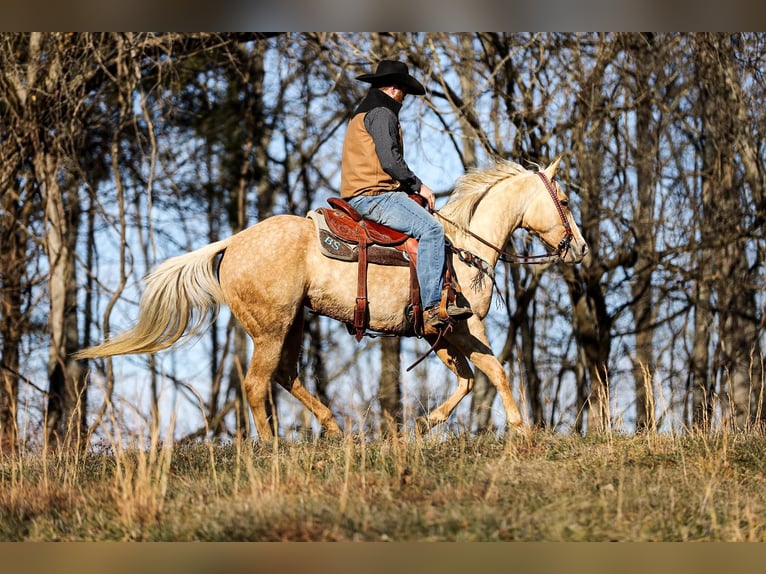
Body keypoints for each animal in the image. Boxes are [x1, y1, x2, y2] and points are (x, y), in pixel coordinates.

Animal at [76, 155, 588, 438]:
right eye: (563, 200)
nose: (580, 248)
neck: (462, 248)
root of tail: (232, 243)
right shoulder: (464, 325)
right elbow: (495, 371)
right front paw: (521, 429)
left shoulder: (436, 335)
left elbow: (466, 379)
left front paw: (427, 424)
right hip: (271, 327)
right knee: (257, 385)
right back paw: (272, 447)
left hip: (292, 323)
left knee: (286, 376)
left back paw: (334, 428)